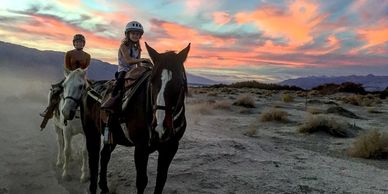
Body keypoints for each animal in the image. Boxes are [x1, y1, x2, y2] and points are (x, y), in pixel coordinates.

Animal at [81, 42, 190, 194]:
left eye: (180, 83)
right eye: (152, 81)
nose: (160, 128)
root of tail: (90, 87)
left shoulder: (170, 148)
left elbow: (161, 180)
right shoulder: (140, 149)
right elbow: (142, 182)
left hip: (112, 136)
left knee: (104, 155)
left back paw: (104, 186)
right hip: (91, 132)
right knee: (93, 158)